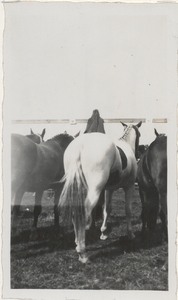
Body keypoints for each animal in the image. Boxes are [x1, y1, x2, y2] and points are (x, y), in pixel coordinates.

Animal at [59, 122, 143, 262]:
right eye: (140, 135)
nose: (138, 154)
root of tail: (80, 144)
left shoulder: (109, 189)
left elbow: (107, 209)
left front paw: (103, 233)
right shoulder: (129, 187)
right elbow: (128, 210)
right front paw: (131, 233)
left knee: (75, 214)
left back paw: (77, 243)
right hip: (94, 191)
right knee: (83, 214)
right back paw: (82, 252)